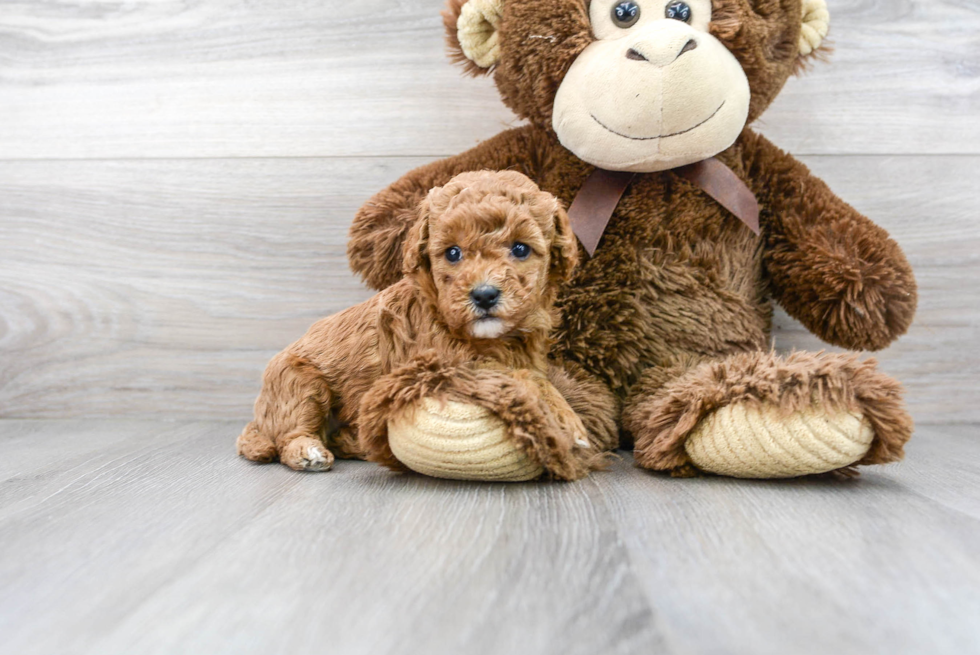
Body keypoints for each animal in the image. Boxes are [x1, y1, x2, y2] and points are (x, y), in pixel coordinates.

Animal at [235, 169, 612, 480]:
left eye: (520, 249)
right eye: (453, 253)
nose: (485, 295)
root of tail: (259, 417)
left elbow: (533, 373)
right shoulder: (445, 363)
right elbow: (523, 377)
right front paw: (568, 422)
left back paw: (352, 441)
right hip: (297, 383)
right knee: (289, 432)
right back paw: (307, 451)